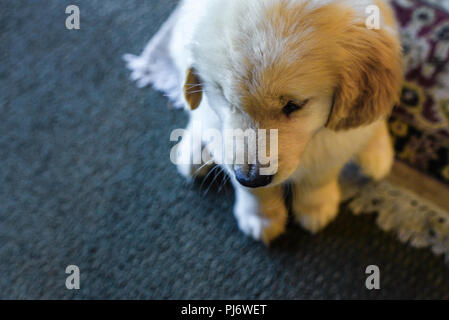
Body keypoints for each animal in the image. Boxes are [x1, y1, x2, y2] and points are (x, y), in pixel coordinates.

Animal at [123, 0, 402, 242]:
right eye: (225, 97)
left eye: (293, 105)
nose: (251, 177)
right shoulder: (224, 139)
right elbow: (253, 191)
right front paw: (262, 219)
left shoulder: (332, 144)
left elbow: (318, 177)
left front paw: (315, 209)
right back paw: (193, 152)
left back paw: (376, 154)